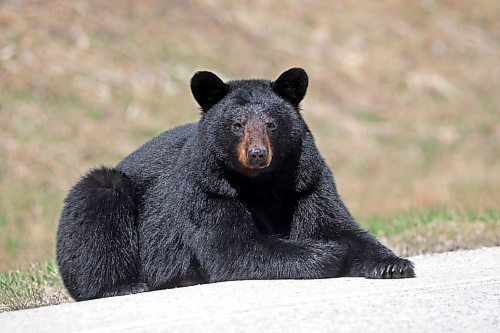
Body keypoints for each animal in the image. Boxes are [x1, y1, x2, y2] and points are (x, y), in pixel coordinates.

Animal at [55, 67, 414, 300]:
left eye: (271, 124)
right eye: (237, 124)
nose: (257, 154)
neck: (262, 182)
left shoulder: (307, 181)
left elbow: (338, 225)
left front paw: (393, 264)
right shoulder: (208, 188)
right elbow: (233, 247)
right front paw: (330, 254)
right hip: (108, 191)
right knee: (98, 203)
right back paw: (122, 285)